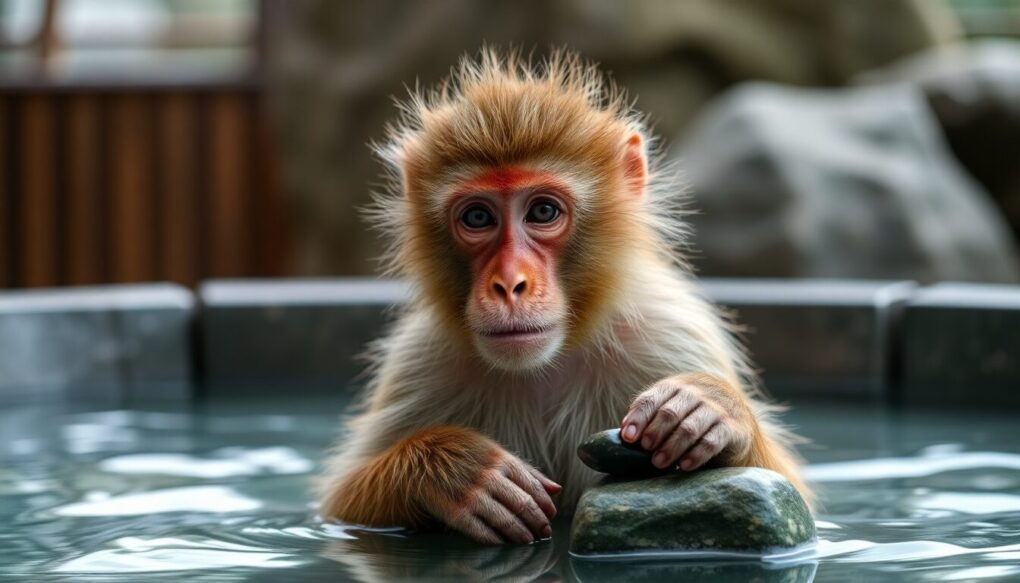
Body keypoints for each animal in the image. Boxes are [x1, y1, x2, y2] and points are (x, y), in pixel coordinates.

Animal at [319, 49, 810, 545]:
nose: (509, 284)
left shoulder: (671, 333)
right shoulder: (421, 360)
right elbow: (342, 506)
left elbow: (788, 495)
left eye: (542, 211)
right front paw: (456, 469)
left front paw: (712, 407)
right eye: (477, 217)